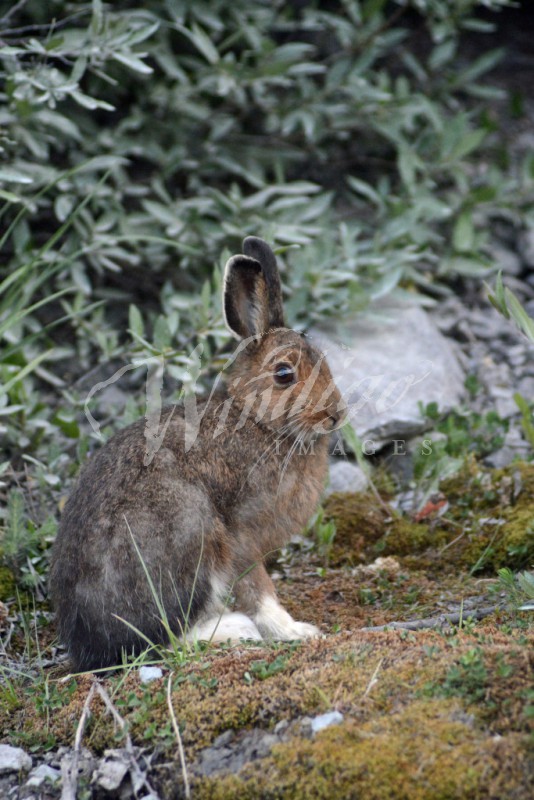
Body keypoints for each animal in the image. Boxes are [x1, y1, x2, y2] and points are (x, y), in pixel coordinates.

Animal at [50, 236, 347, 670]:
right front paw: (294, 631)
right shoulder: (242, 536)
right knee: (164, 639)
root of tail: (90, 644)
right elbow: (259, 589)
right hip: (190, 531)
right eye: (284, 374)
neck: (257, 421)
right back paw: (233, 630)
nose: (336, 414)